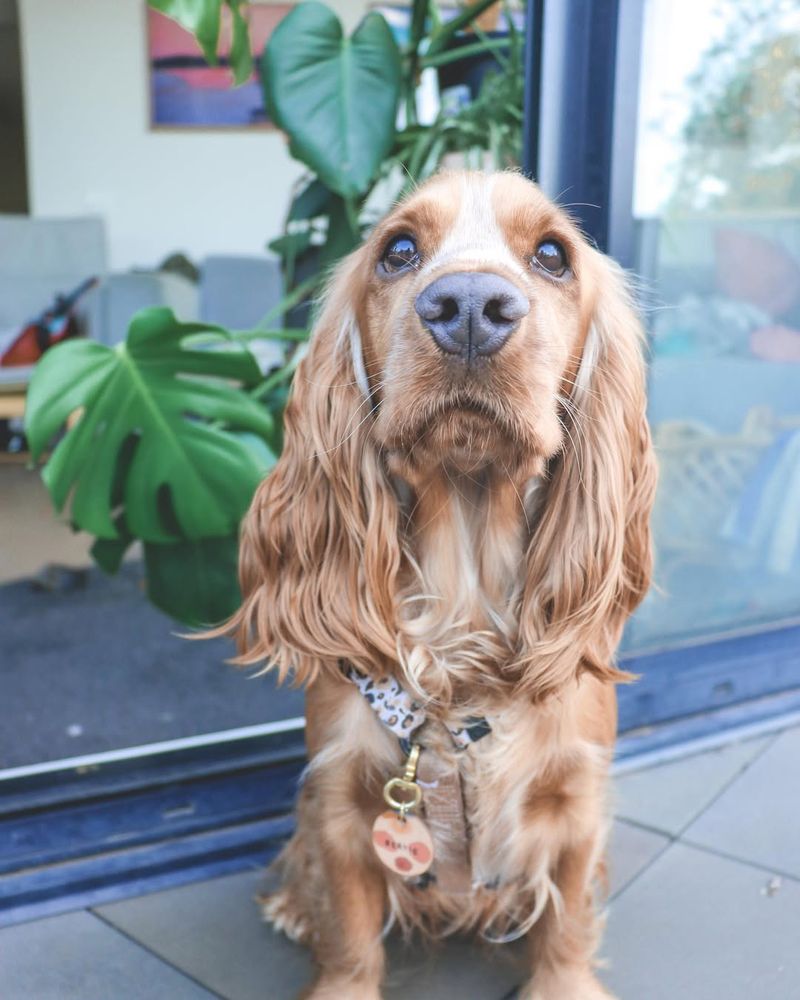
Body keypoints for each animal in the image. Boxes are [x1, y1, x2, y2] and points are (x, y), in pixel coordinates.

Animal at [225, 174, 656, 1000]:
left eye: (552, 255)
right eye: (398, 250)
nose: (469, 307)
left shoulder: (577, 800)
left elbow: (567, 925)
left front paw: (563, 979)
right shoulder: (341, 801)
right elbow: (349, 934)